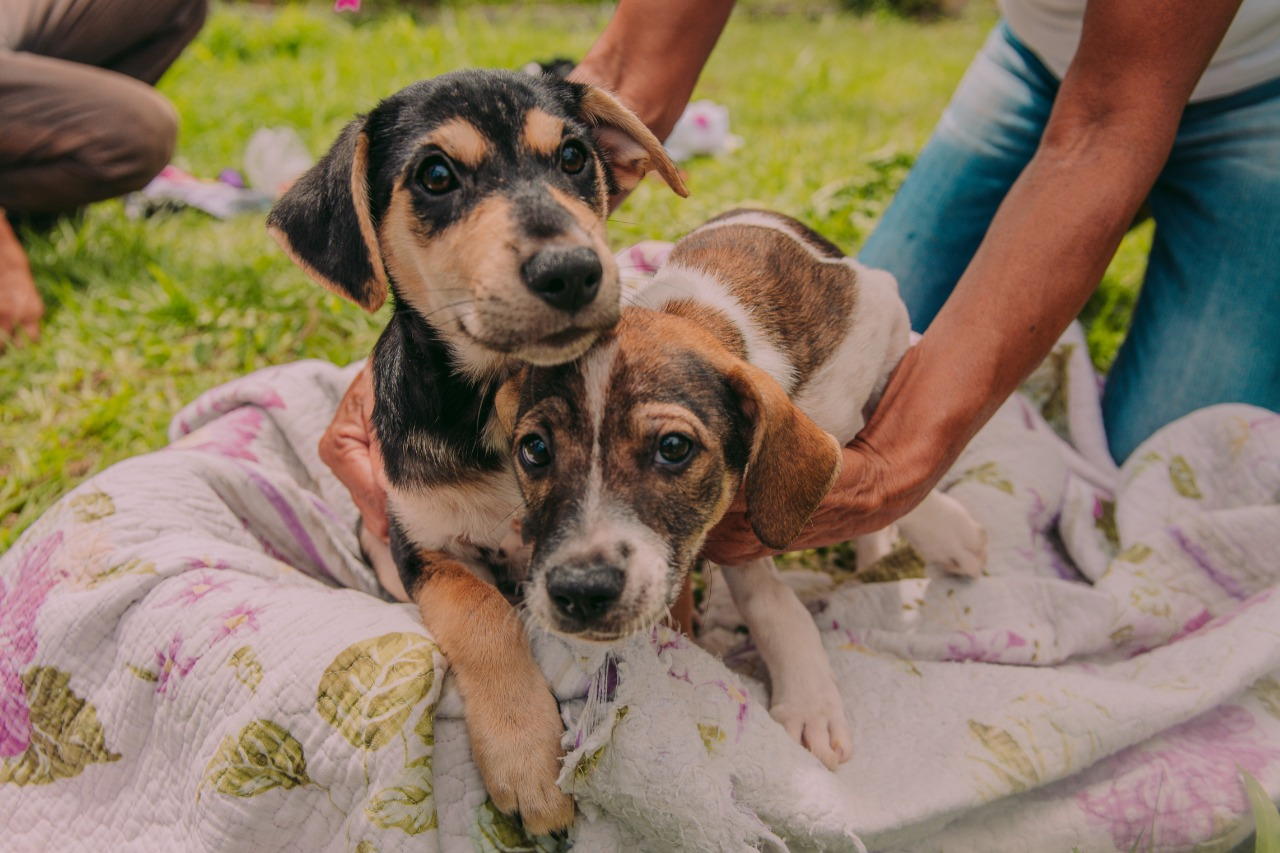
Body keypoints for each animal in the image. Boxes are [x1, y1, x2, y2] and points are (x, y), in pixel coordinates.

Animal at [267, 71, 691, 829]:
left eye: (574, 158)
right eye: (436, 175)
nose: (572, 270)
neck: (497, 399)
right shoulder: (423, 547)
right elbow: (482, 614)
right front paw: (527, 760)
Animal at [504, 208, 983, 768]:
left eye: (673, 447)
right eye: (535, 450)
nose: (580, 592)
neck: (695, 312)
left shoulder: (882, 322)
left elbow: (888, 443)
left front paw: (950, 534)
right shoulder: (732, 534)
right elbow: (768, 601)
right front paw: (810, 701)